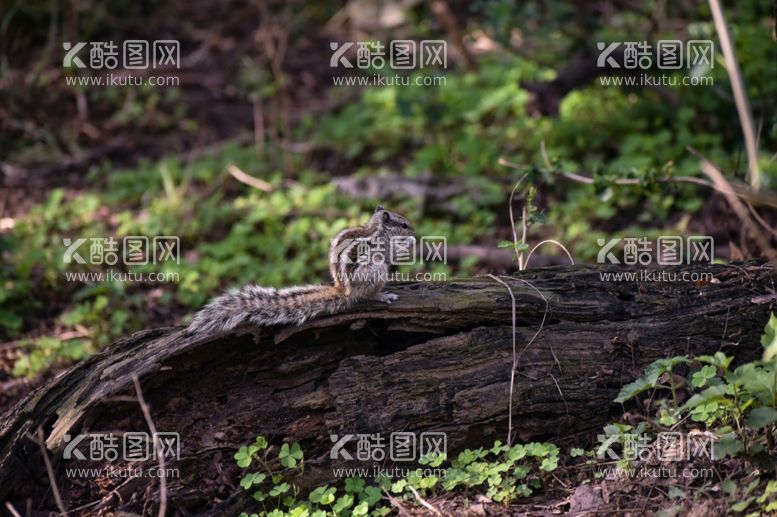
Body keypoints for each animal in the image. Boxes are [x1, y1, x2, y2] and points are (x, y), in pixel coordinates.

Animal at [185, 206, 416, 334]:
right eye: (404, 225)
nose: (414, 231)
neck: (377, 228)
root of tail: (344, 291)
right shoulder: (383, 247)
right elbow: (393, 253)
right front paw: (409, 243)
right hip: (376, 271)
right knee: (366, 296)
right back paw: (382, 295)